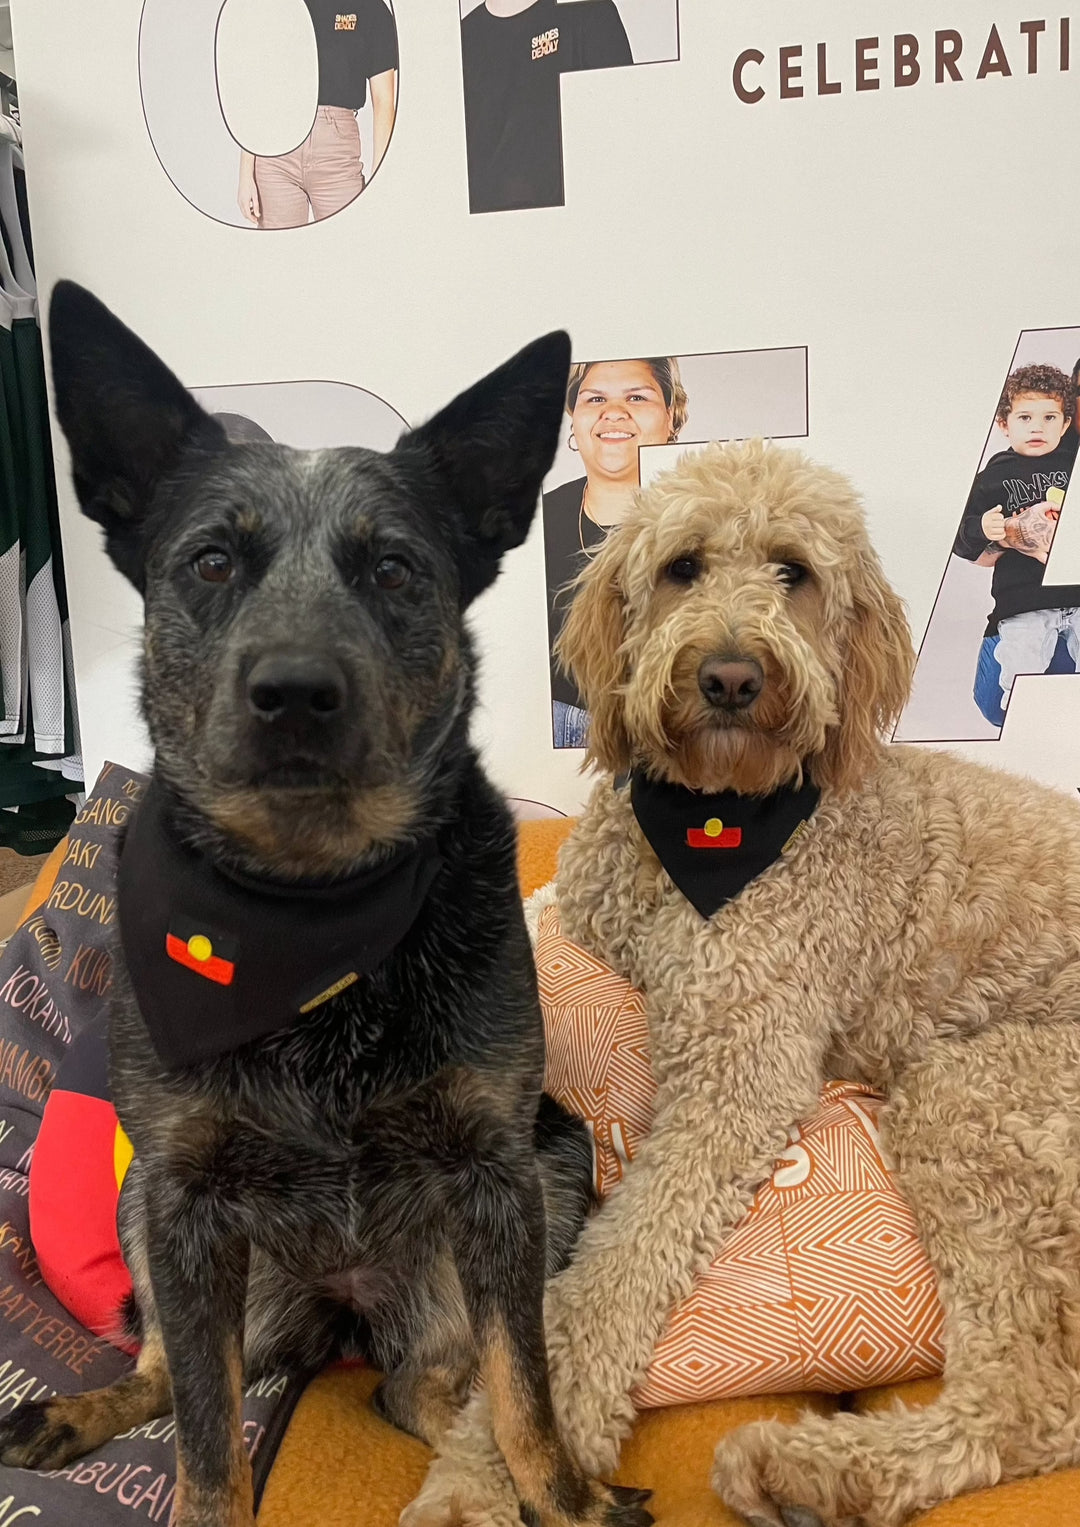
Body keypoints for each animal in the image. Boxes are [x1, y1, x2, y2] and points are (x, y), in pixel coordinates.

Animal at [0, 287, 650, 1527]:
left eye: (394, 570)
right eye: (211, 561)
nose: (296, 691)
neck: (307, 919)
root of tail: (342, 1310)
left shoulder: (499, 1175)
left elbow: (526, 1387)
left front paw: (555, 1493)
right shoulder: (186, 1198)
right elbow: (209, 1441)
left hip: (549, 1174)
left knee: (433, 1385)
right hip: (150, 1217)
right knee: (168, 1368)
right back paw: (83, 1408)